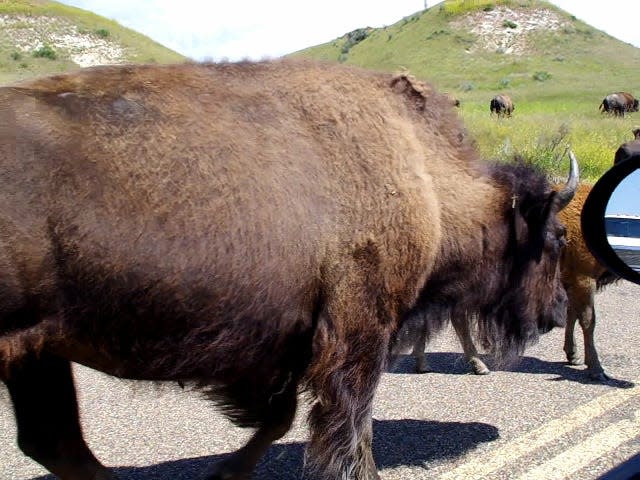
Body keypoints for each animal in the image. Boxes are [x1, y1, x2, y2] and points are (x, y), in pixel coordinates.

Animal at [1, 61, 576, 480]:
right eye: (556, 239)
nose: (557, 310)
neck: (425, 179)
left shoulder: (289, 348)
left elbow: (282, 421)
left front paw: (226, 474)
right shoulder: (357, 334)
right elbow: (350, 428)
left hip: (37, 351)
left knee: (52, 440)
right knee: (56, 440)